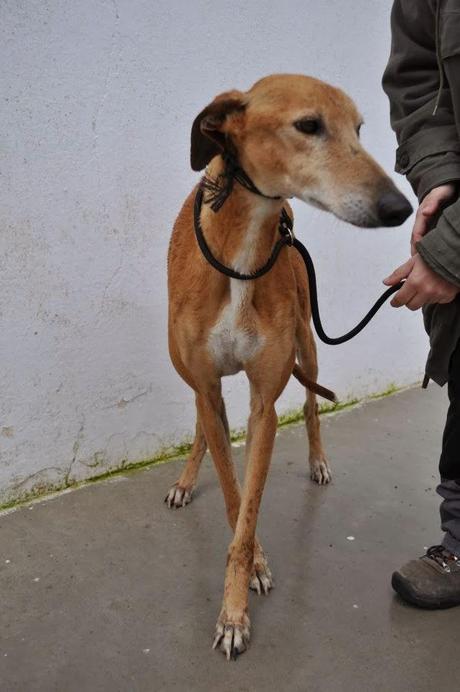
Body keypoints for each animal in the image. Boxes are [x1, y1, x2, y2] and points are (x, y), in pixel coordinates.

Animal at [165, 74, 414, 660]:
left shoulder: (265, 406)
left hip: (307, 339)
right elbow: (234, 497)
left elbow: (248, 504)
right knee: (202, 425)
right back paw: (186, 480)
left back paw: (319, 462)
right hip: (190, 373)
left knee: (312, 405)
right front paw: (249, 573)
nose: (400, 207)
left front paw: (235, 609)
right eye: (308, 125)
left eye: (359, 129)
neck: (240, 255)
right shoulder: (207, 386)